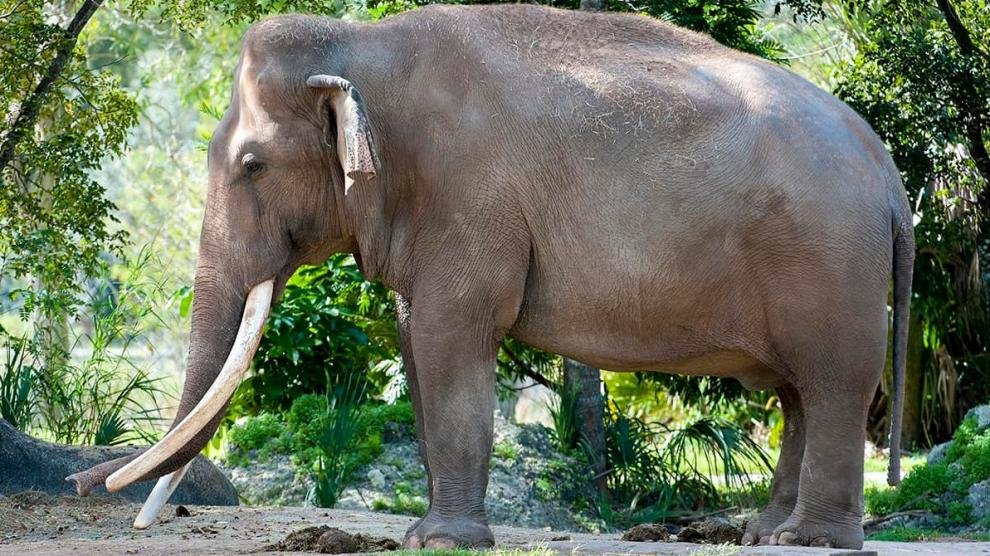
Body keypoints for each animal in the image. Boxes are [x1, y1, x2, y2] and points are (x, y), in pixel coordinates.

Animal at [67, 4, 914, 550]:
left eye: (250, 165)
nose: (85, 488)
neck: (364, 47)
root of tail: (889, 175)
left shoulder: (467, 195)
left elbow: (452, 336)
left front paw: (446, 541)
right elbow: (416, 339)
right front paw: (422, 536)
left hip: (830, 262)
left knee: (833, 382)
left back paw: (810, 541)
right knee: (796, 392)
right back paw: (765, 534)